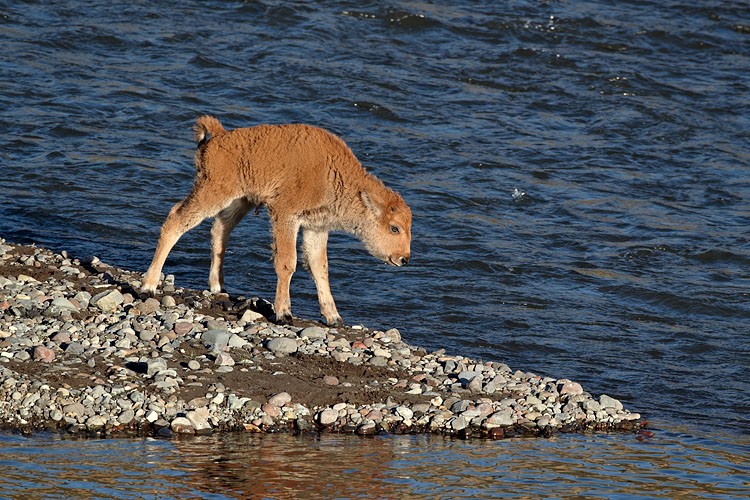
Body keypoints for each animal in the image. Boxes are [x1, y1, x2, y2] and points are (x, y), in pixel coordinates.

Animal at [141, 115, 412, 326]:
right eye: (394, 228)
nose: (404, 259)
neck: (333, 174)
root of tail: (220, 135)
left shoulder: (316, 227)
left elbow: (319, 267)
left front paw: (334, 317)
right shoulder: (285, 216)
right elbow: (287, 262)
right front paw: (284, 314)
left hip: (240, 201)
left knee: (219, 229)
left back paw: (218, 286)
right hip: (213, 192)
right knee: (176, 220)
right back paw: (148, 287)